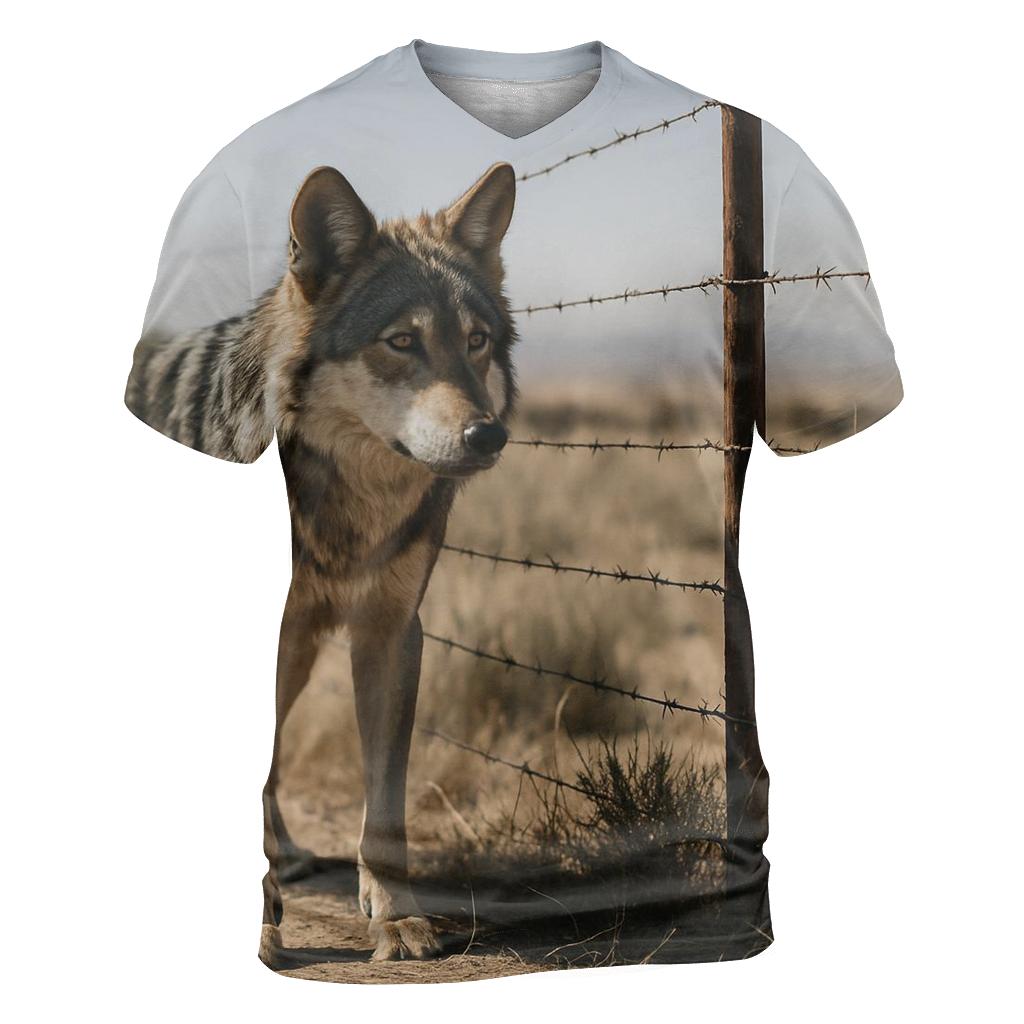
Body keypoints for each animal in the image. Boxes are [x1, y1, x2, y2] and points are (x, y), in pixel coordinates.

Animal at [125, 162, 519, 962]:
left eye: (476, 340)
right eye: (401, 341)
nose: (487, 434)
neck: (350, 505)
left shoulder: (392, 633)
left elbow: (386, 802)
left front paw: (394, 915)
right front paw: (265, 917)